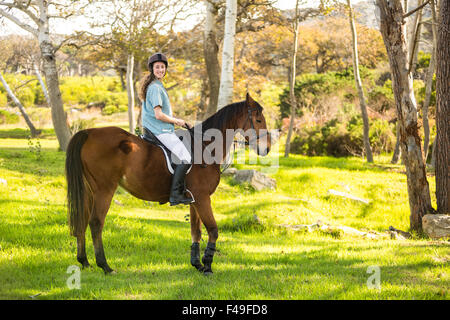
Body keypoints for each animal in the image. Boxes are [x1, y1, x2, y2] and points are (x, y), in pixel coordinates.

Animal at [65, 92, 270, 276]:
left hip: (89, 190)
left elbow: (196, 231)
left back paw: (84, 261)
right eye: (259, 120)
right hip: (105, 190)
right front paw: (208, 266)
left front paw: (197, 264)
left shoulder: (194, 200)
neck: (205, 147)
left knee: (82, 219)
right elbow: (213, 230)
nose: (266, 149)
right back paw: (105, 266)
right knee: (96, 222)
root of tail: (89, 132)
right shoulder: (203, 198)